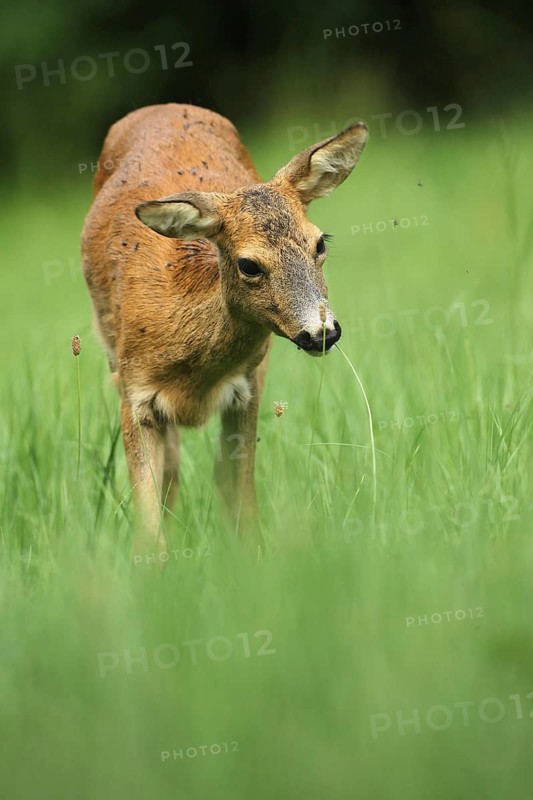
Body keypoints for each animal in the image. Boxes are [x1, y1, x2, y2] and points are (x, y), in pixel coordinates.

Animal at [81, 103, 368, 557]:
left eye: (320, 243)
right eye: (248, 265)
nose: (321, 331)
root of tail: (163, 106)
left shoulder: (245, 391)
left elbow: (241, 495)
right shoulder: (134, 391)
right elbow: (150, 516)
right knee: (173, 474)